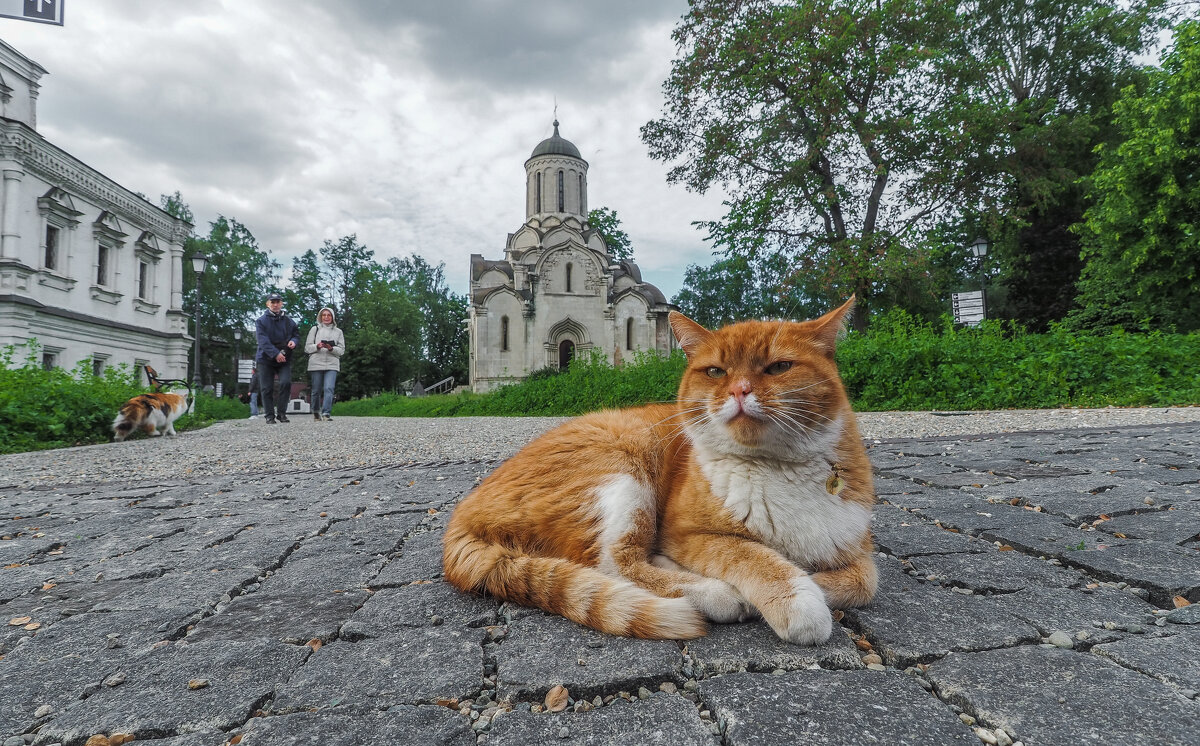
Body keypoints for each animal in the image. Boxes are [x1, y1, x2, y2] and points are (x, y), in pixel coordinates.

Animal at [446, 296, 878, 642]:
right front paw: (795, 598)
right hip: (623, 467)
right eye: (716, 371)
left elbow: (863, 581)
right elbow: (754, 557)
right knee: (613, 562)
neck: (777, 466)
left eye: (779, 367)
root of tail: (462, 511)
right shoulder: (689, 533)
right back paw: (716, 593)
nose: (739, 390)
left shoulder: (858, 547)